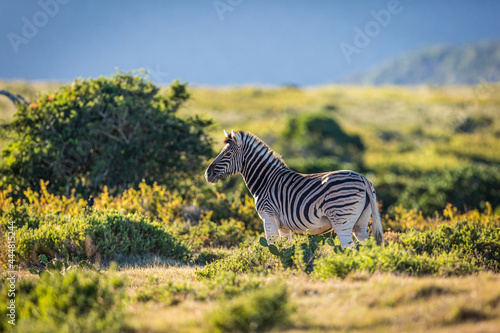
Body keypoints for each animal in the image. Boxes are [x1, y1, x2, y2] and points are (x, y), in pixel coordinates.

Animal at [205, 129, 384, 246]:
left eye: (227, 154)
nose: (207, 174)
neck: (265, 180)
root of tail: (364, 179)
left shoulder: (268, 217)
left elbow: (271, 246)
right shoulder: (283, 226)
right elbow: (286, 248)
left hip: (342, 219)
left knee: (349, 248)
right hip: (360, 222)